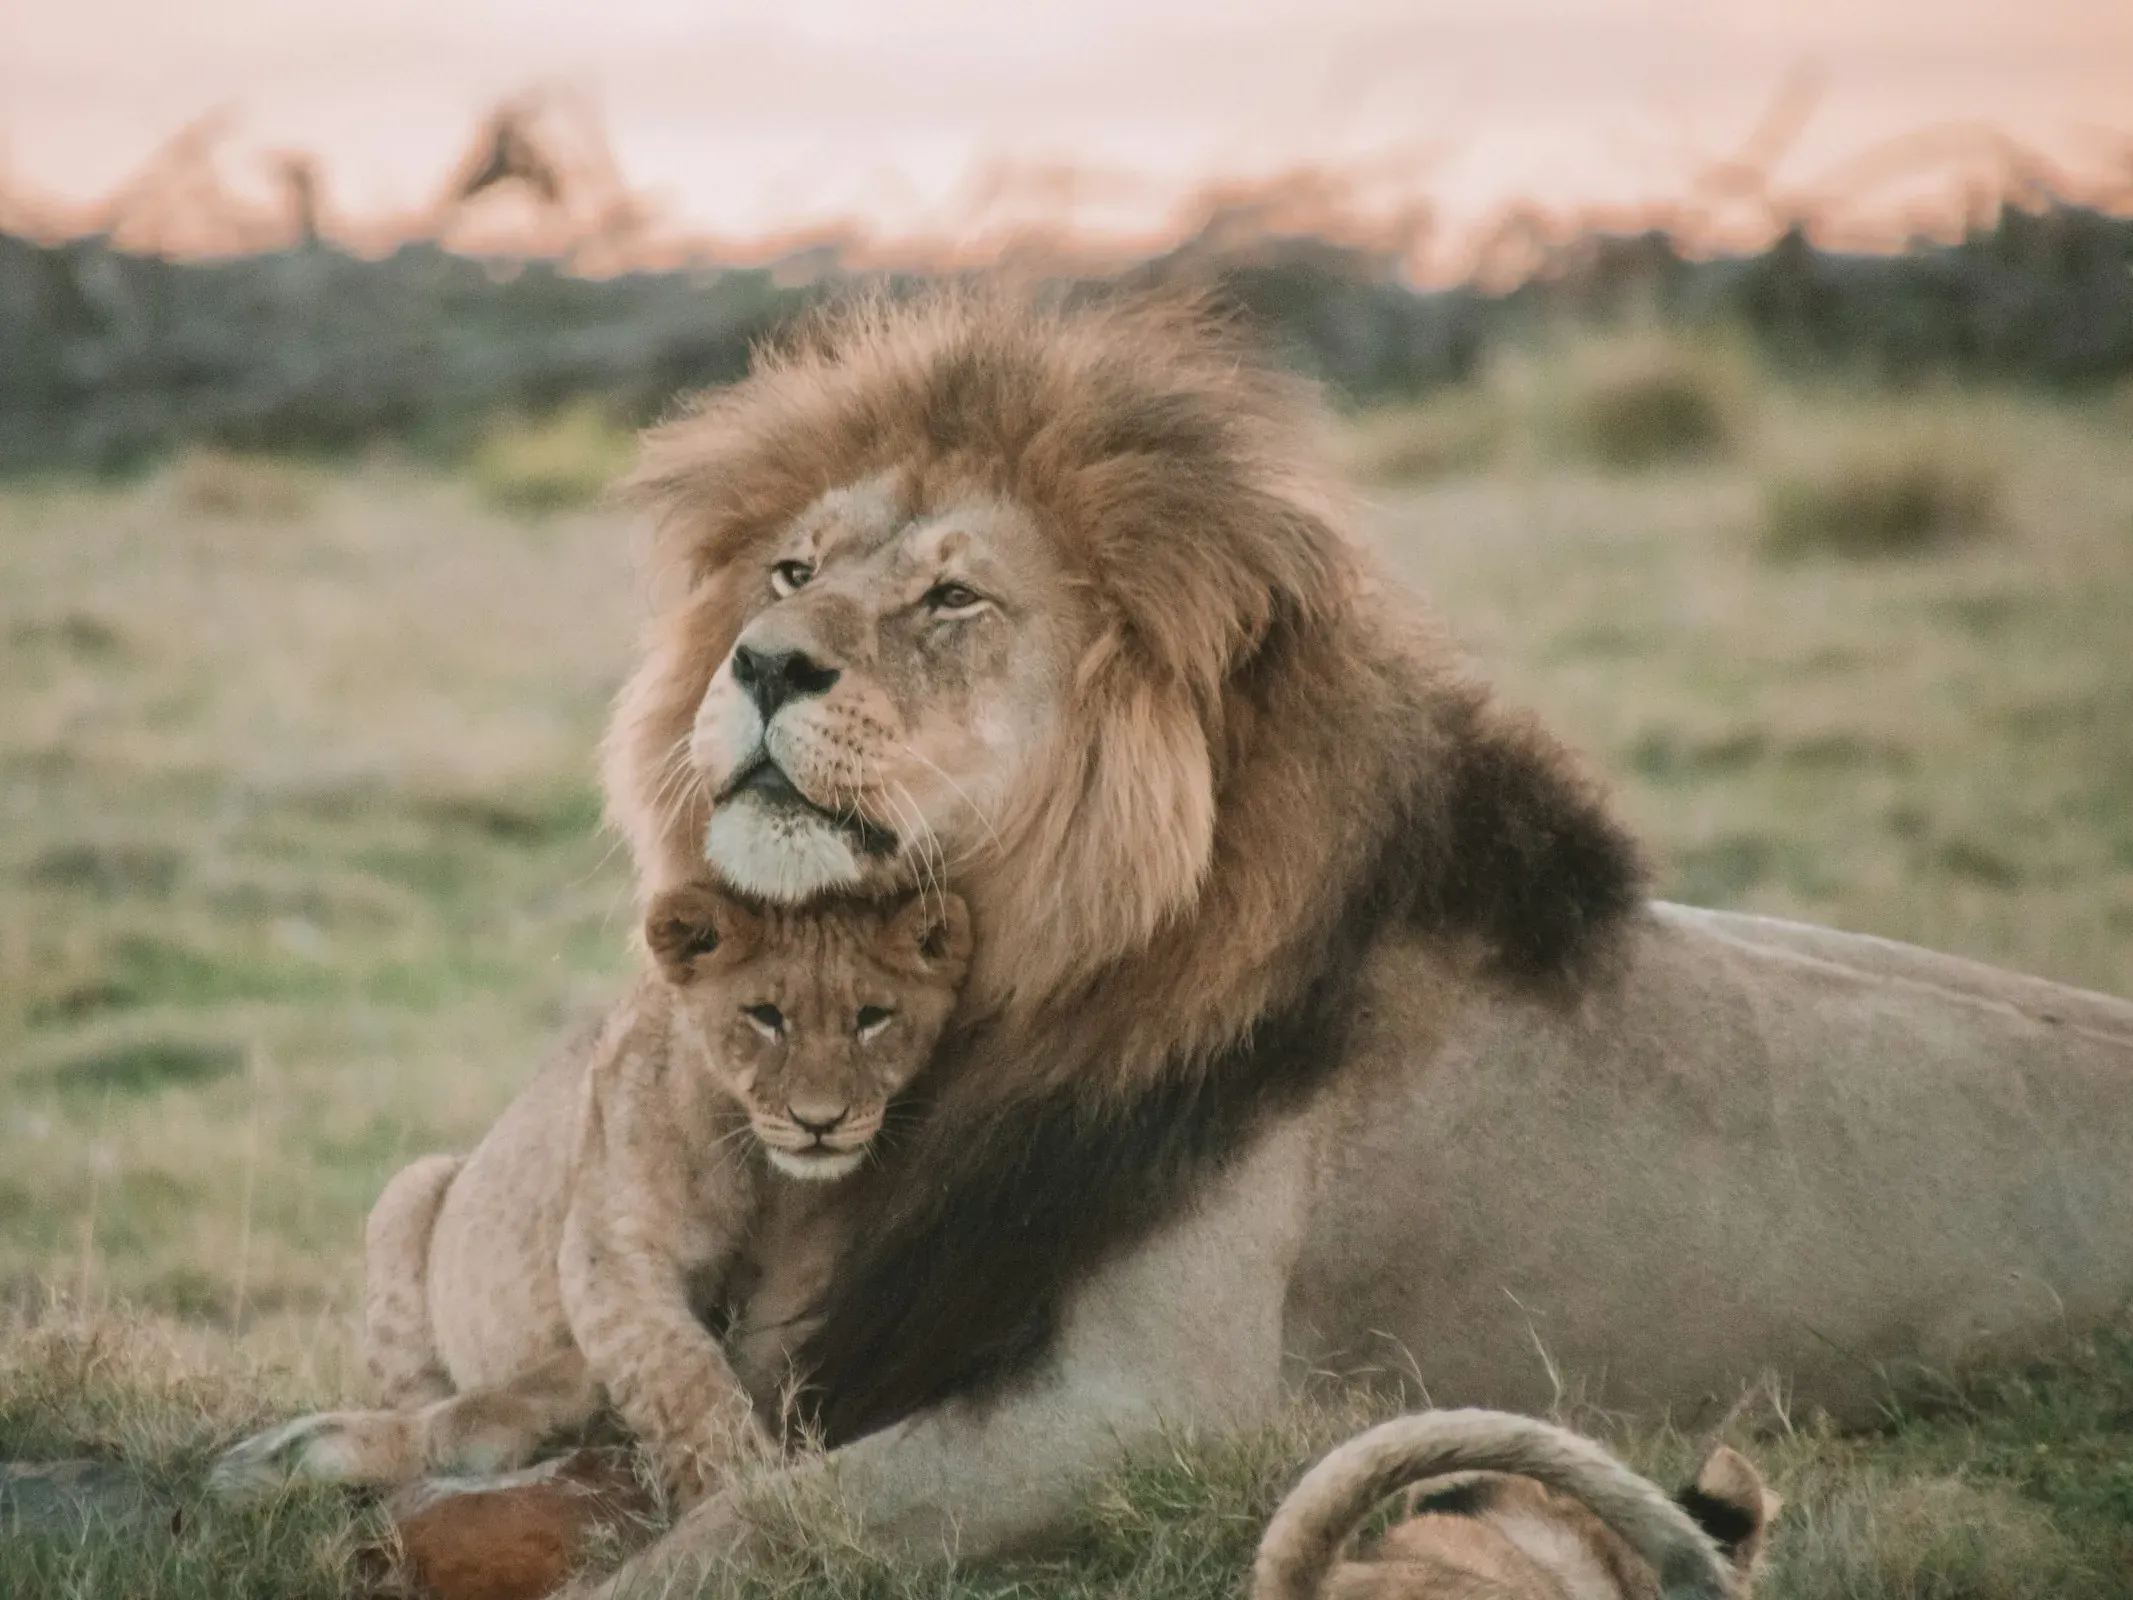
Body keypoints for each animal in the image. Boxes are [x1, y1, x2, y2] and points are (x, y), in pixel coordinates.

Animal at [210, 883, 969, 1507]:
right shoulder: (611, 1251)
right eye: (764, 1016)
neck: (765, 1176)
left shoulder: (806, 1279)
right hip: (410, 1188)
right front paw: (737, 1488)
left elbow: (757, 1363)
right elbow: (680, 1371)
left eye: (872, 1017)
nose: (820, 1122)